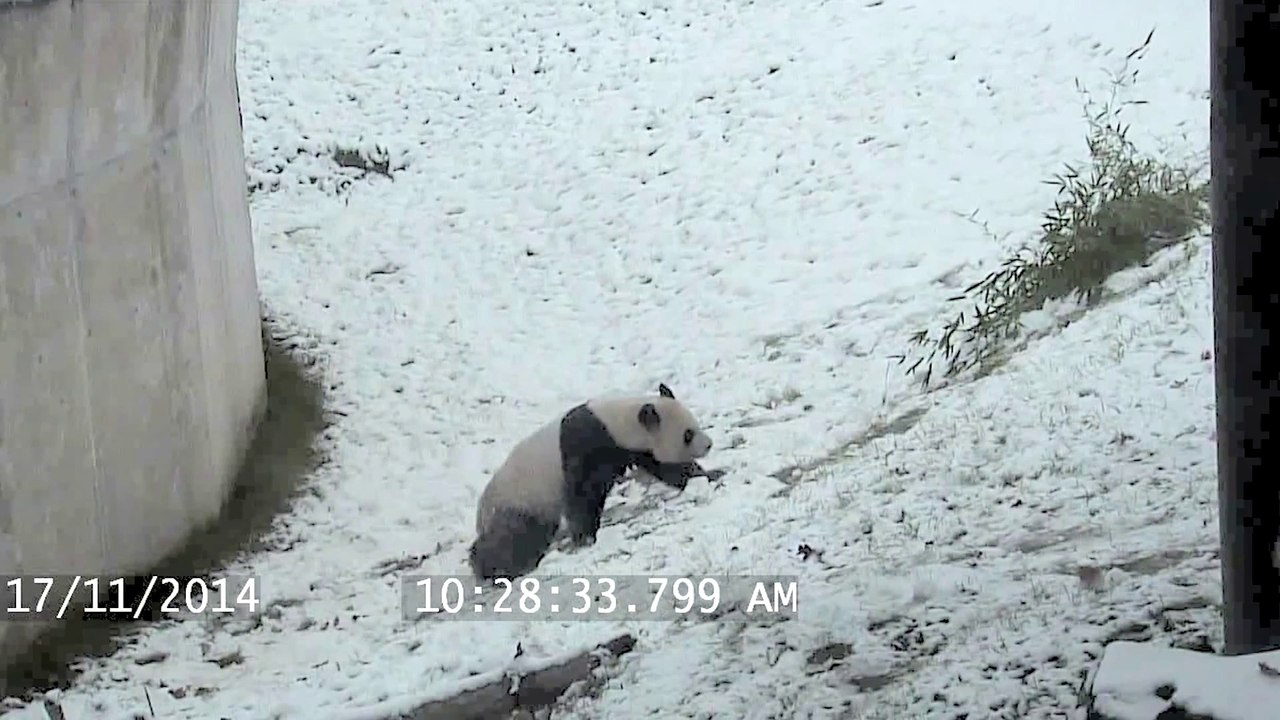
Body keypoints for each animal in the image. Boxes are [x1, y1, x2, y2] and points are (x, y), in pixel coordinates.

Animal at [468, 383, 716, 581]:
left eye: (694, 425)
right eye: (688, 434)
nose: (709, 444)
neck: (617, 422)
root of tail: (481, 514)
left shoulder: (636, 447)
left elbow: (668, 467)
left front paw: (709, 476)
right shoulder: (586, 445)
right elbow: (583, 494)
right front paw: (585, 537)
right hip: (521, 499)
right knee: (515, 536)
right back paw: (492, 567)